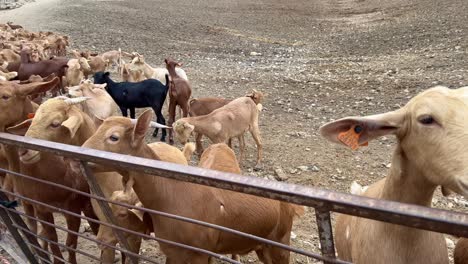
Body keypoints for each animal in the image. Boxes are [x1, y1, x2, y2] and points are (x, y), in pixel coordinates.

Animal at [81, 109, 304, 262]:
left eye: (113, 137)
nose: (81, 150)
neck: (169, 196)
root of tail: (289, 206)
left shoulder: (198, 254)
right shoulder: (173, 251)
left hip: (280, 244)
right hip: (261, 246)